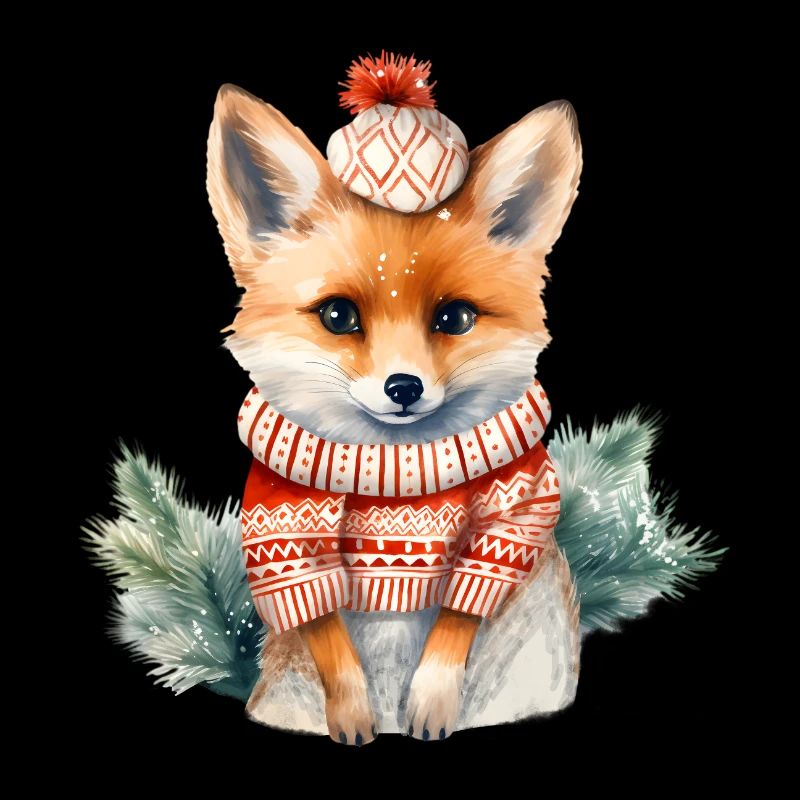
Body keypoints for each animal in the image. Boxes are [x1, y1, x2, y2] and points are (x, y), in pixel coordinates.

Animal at [206, 80, 583, 745]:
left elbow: (461, 607)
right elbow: (320, 619)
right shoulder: (282, 523)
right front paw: (353, 712)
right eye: (338, 316)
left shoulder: (517, 506)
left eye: (454, 317)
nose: (403, 387)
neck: (396, 467)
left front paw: (432, 699)